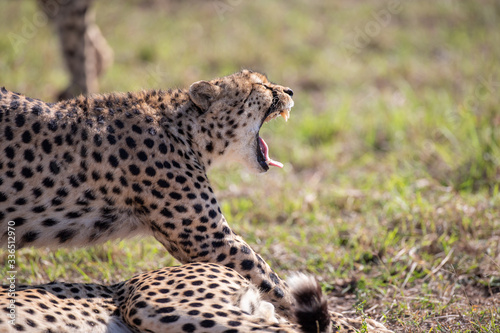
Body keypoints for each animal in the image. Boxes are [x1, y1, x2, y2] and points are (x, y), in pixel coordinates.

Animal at [0, 69, 296, 314]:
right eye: (261, 85)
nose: (290, 91)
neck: (187, 130)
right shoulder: (210, 240)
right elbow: (271, 280)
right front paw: (303, 313)